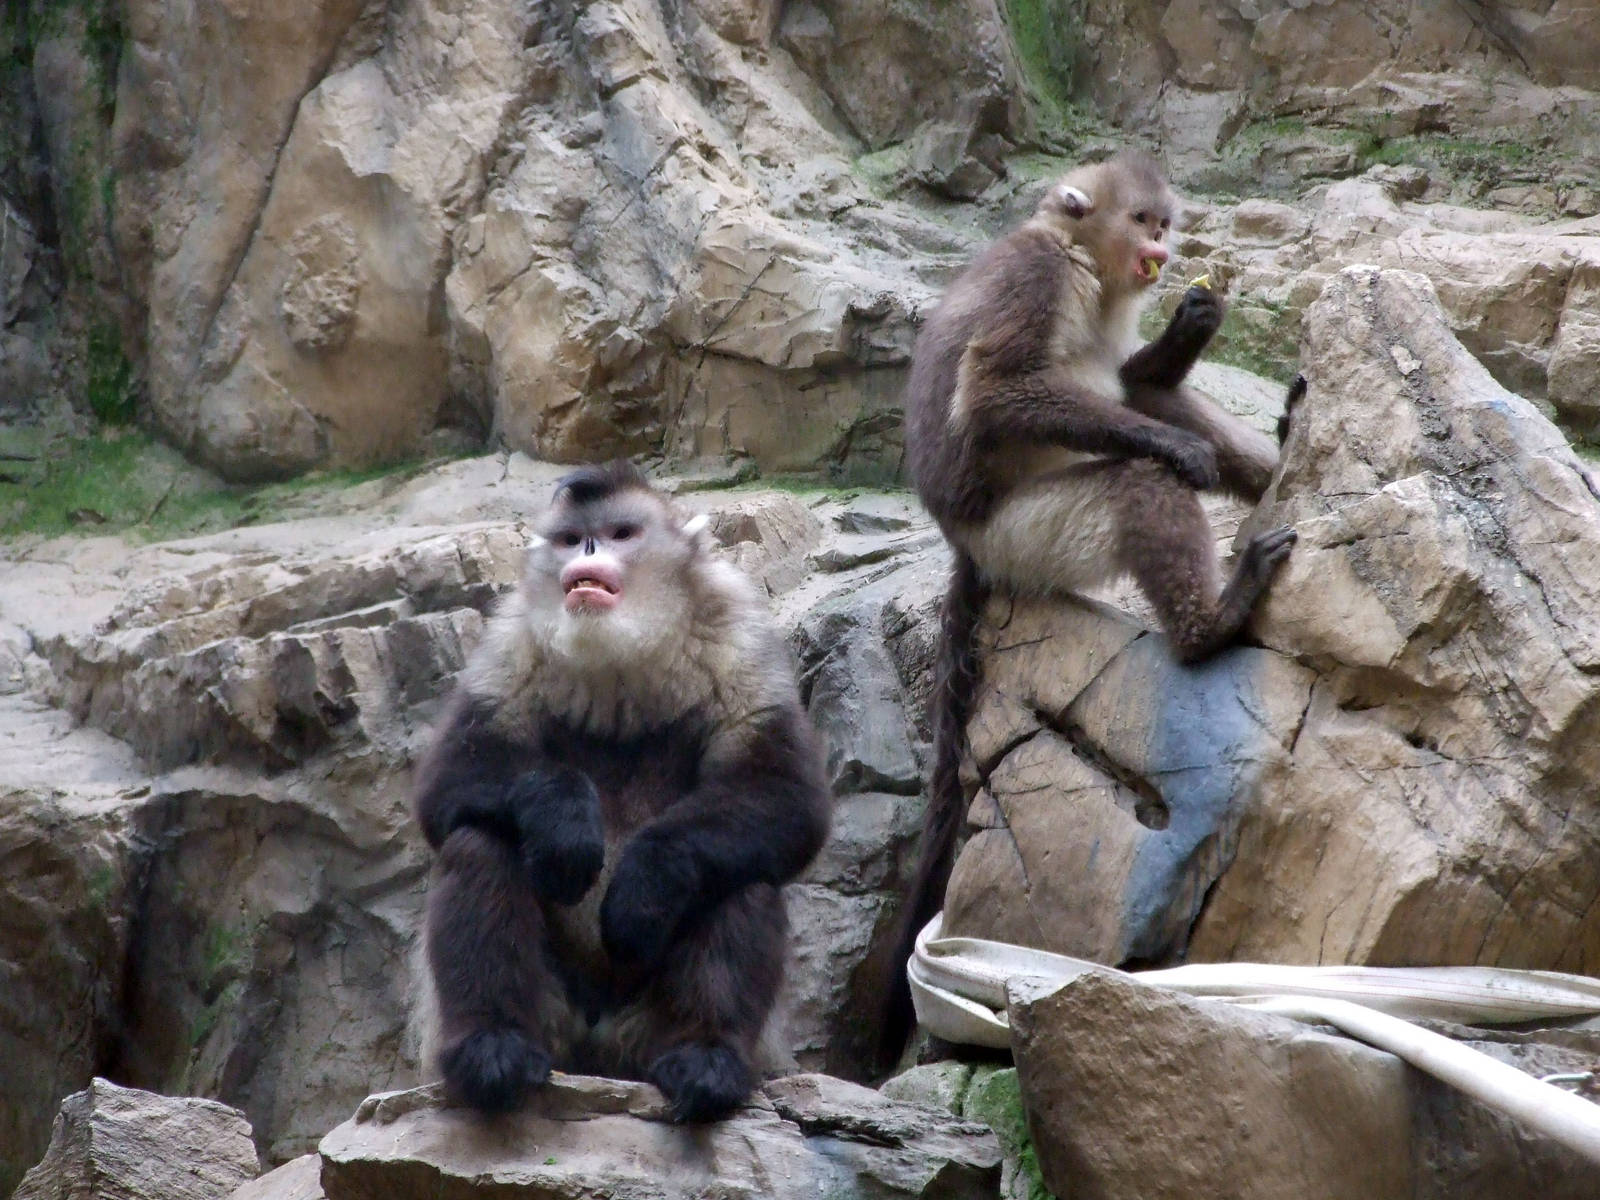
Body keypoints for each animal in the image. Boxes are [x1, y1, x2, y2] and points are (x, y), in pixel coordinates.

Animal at [413, 460, 830, 1122]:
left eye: (619, 533)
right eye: (569, 538)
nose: (585, 552)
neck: (622, 657)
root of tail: (597, 1047)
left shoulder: (738, 637)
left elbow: (785, 796)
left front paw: (645, 882)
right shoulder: (509, 644)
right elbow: (448, 781)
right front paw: (564, 822)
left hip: (645, 1027)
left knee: (739, 871)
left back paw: (706, 1059)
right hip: (556, 1022)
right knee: (479, 839)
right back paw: (492, 1046)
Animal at [875, 150, 1298, 1065]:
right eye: (1144, 221)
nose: (1163, 253)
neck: (1082, 262)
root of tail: (966, 543)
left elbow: (1136, 381)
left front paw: (1193, 326)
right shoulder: (1037, 279)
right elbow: (998, 392)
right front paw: (1179, 445)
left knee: (1140, 403)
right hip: (1027, 538)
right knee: (1139, 474)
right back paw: (1208, 624)